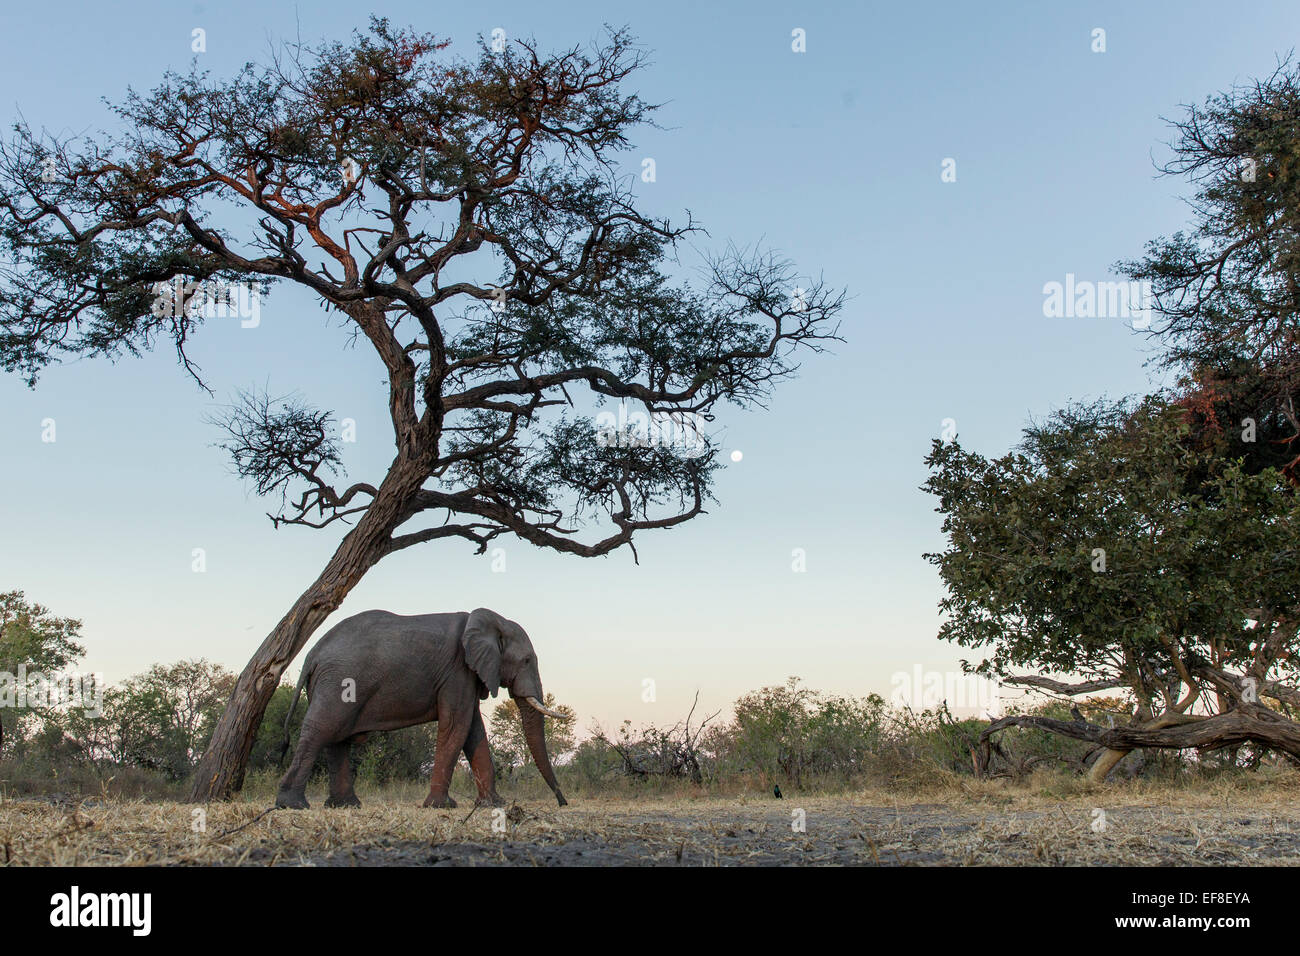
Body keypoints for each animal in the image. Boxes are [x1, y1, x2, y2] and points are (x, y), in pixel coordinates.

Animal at [274, 608, 569, 811]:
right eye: (527, 660)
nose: (562, 802)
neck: (486, 621)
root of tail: (312, 655)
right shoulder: (457, 671)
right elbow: (457, 725)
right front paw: (441, 806)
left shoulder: (465, 676)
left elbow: (473, 730)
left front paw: (494, 804)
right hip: (338, 683)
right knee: (320, 730)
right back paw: (292, 805)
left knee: (338, 740)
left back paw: (346, 805)